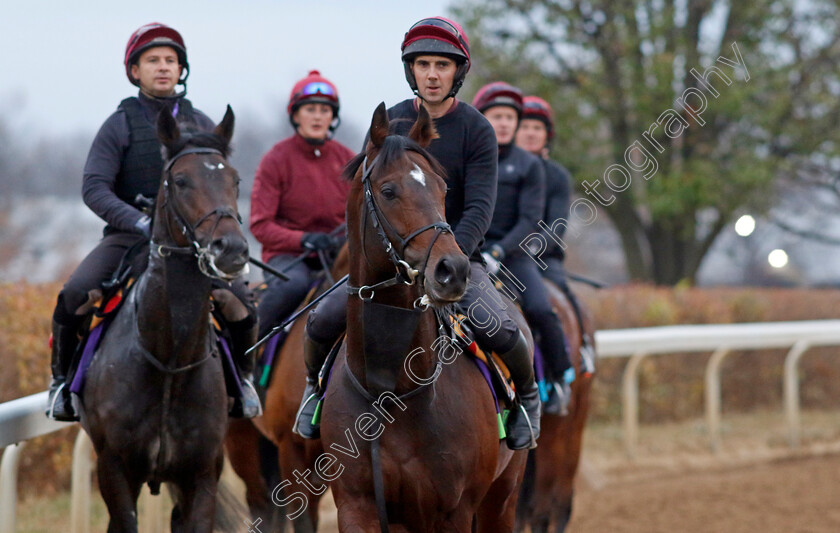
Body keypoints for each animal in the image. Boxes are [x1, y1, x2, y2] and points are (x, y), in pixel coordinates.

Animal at [79, 106, 248, 528]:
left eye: (234, 179)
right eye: (181, 181)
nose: (231, 249)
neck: (170, 360)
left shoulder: (202, 475)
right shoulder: (114, 471)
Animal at [320, 102, 524, 528]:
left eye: (442, 189)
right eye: (388, 191)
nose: (453, 270)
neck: (392, 389)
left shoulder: (454, 510)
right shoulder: (357, 505)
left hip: (502, 496)